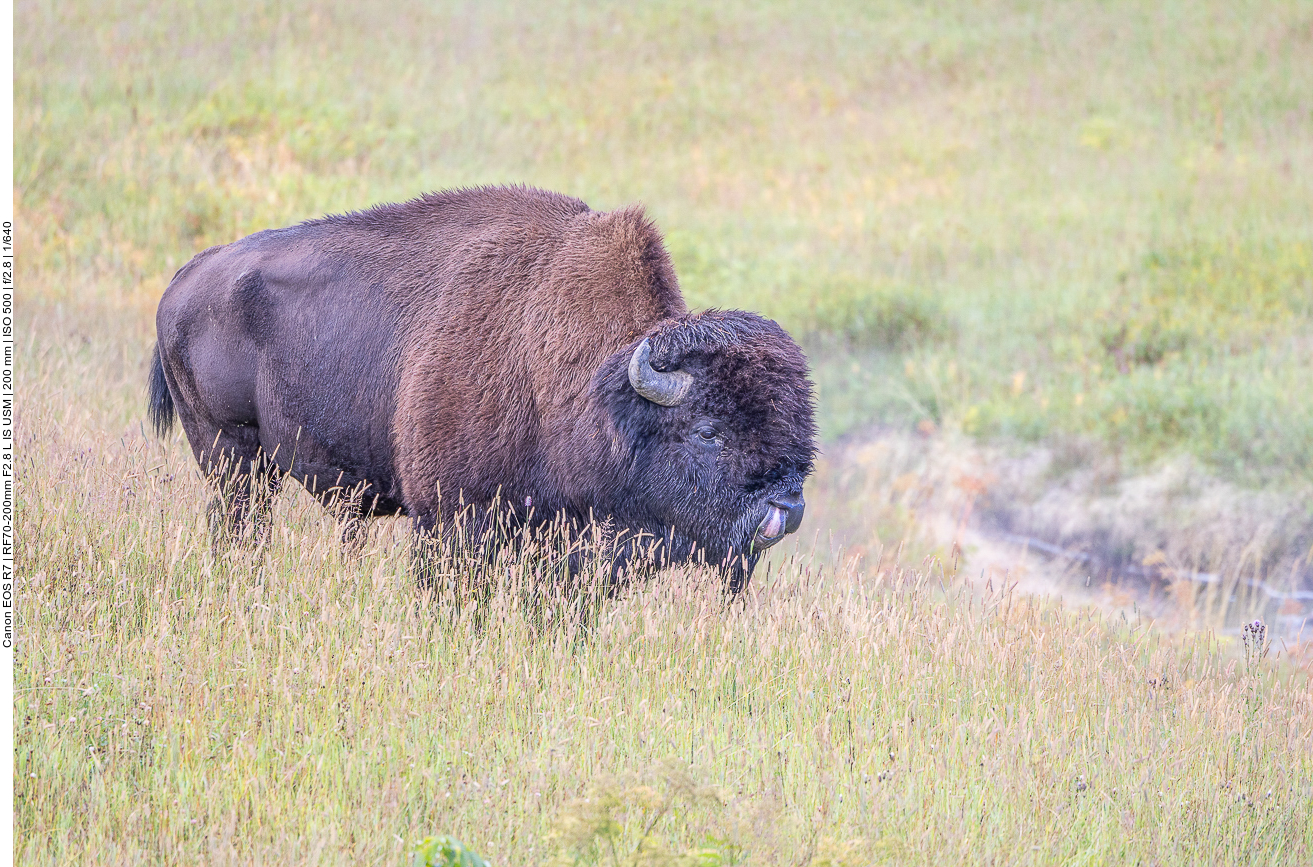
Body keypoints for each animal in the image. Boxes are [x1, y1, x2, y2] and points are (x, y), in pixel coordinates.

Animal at [149, 182, 814, 588]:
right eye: (707, 431)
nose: (785, 508)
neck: (598, 392)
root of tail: (186, 276)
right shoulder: (450, 521)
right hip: (231, 455)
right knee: (239, 527)